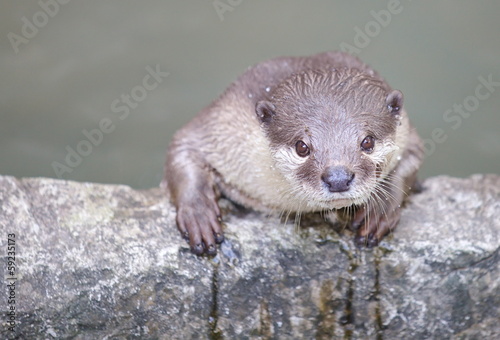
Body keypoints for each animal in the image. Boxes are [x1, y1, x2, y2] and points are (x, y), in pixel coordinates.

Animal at [164, 51, 422, 255]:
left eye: (368, 142)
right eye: (302, 146)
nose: (338, 178)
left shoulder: (408, 133)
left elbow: (411, 159)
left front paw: (379, 210)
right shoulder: (221, 121)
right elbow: (183, 143)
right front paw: (199, 215)